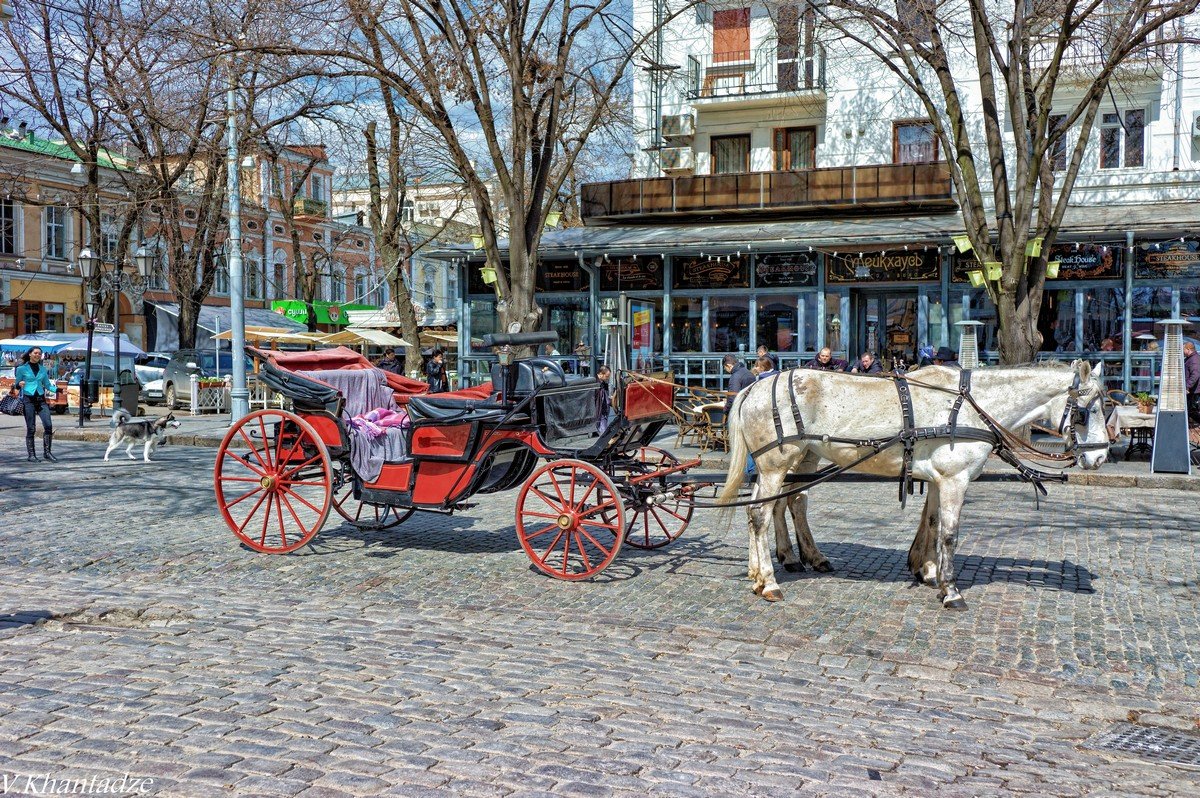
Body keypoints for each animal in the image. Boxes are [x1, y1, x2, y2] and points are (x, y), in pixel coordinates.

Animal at [715, 362, 1108, 609]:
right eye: (1085, 412)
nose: (1101, 456)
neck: (970, 407)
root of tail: (753, 386)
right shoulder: (955, 479)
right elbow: (949, 533)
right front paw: (951, 590)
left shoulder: (939, 478)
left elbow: (932, 523)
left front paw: (927, 570)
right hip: (776, 464)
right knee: (760, 513)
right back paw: (769, 582)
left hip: (800, 461)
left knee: (782, 505)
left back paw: (767, 569)